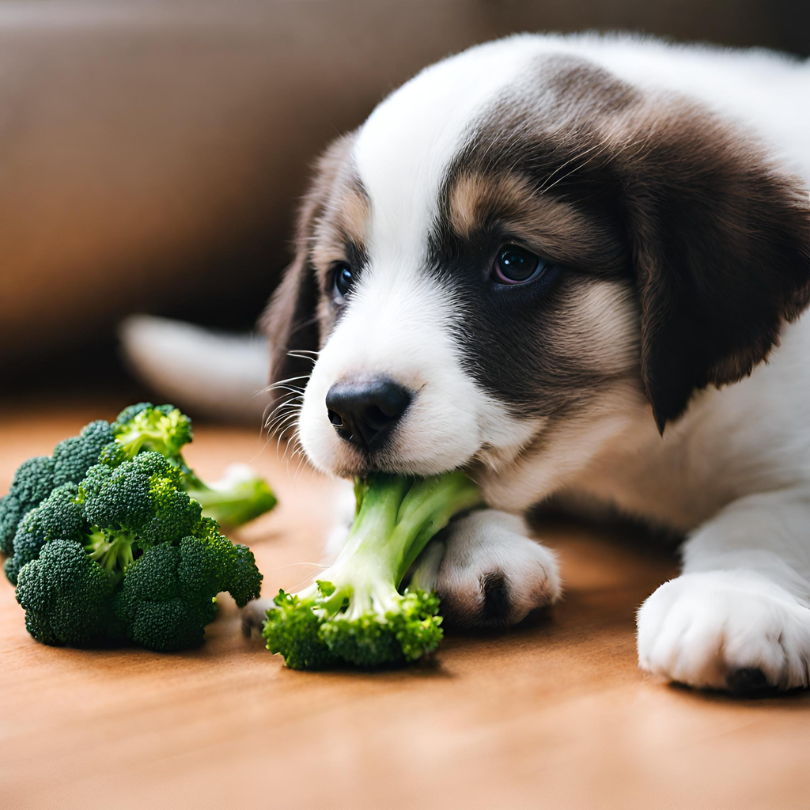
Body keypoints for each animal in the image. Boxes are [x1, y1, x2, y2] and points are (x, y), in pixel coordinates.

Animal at [126, 34, 808, 692]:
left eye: (515, 263)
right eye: (343, 276)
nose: (355, 410)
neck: (625, 450)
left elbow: (763, 516)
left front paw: (734, 597)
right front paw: (469, 547)